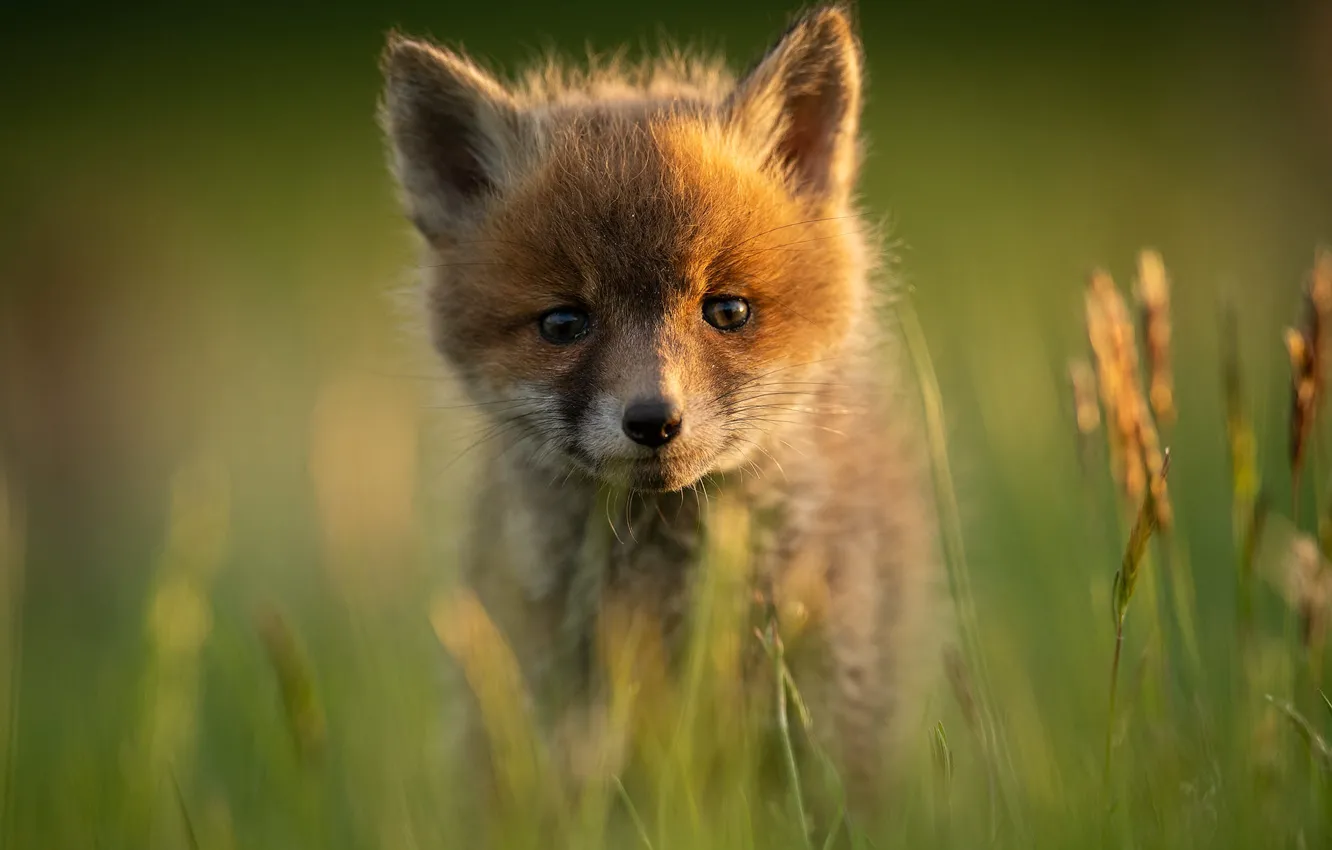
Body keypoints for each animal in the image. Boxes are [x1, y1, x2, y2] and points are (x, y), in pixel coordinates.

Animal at [379, 2, 944, 829]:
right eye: (562, 323)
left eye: (728, 310)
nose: (653, 420)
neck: (656, 581)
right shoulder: (550, 714)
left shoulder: (831, 717)